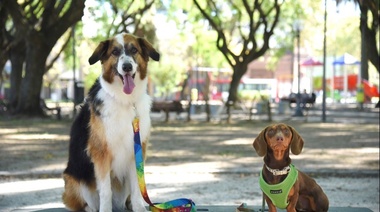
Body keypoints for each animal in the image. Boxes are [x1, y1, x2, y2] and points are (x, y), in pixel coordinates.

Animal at [62, 32, 159, 211]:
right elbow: (105, 190)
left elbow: (137, 188)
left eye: (134, 50)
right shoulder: (101, 152)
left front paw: (139, 207)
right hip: (73, 178)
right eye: (114, 52)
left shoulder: (137, 150)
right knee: (82, 203)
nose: (127, 67)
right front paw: (105, 209)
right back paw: (90, 208)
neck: (125, 100)